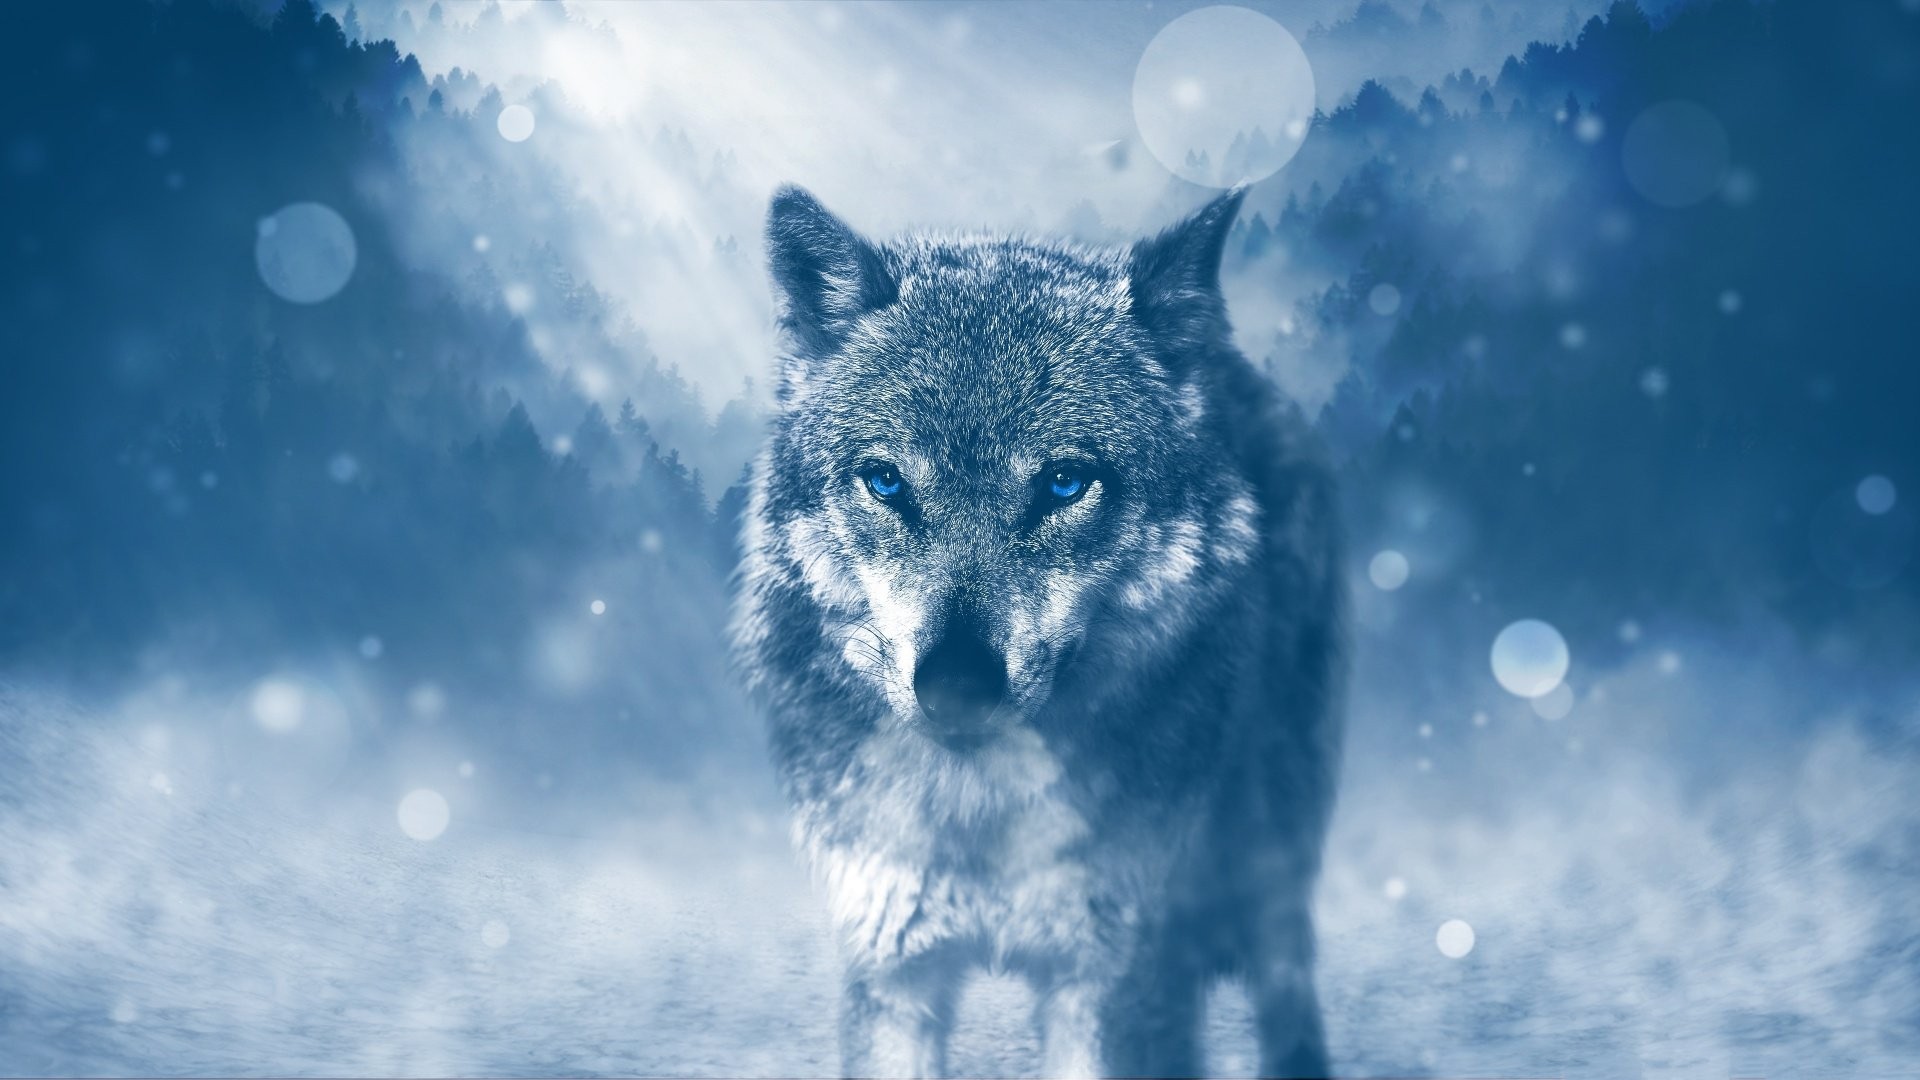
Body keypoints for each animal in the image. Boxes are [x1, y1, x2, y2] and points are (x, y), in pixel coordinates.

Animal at [730, 183, 1345, 1079]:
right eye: (886, 481)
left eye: (1063, 483)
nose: (956, 685)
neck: (980, 814)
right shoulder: (892, 967)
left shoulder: (1111, 979)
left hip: (1270, 849)